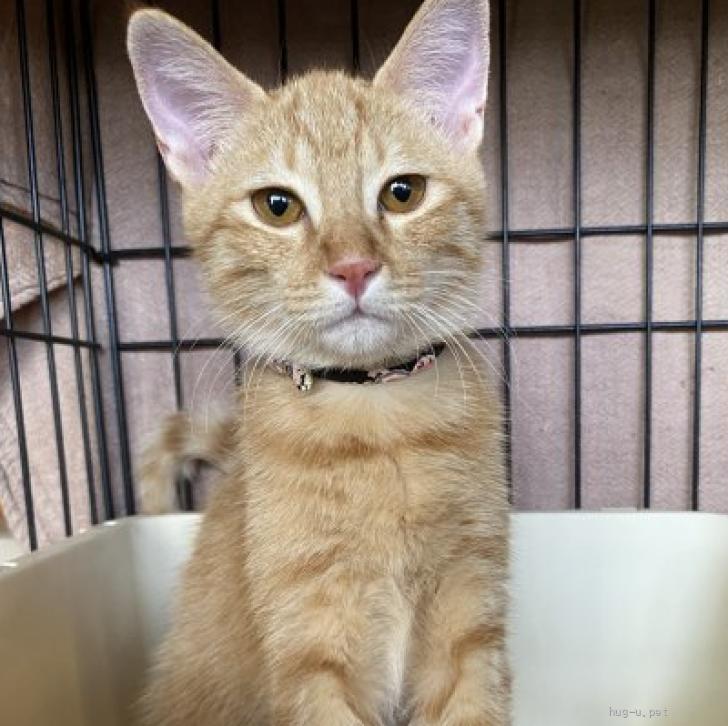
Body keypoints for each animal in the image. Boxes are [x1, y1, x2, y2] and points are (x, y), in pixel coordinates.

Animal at [127, 0, 510, 724]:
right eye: (276, 206)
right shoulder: (307, 646)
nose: (354, 266)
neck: (376, 418)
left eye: (402, 193)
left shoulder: (471, 615)